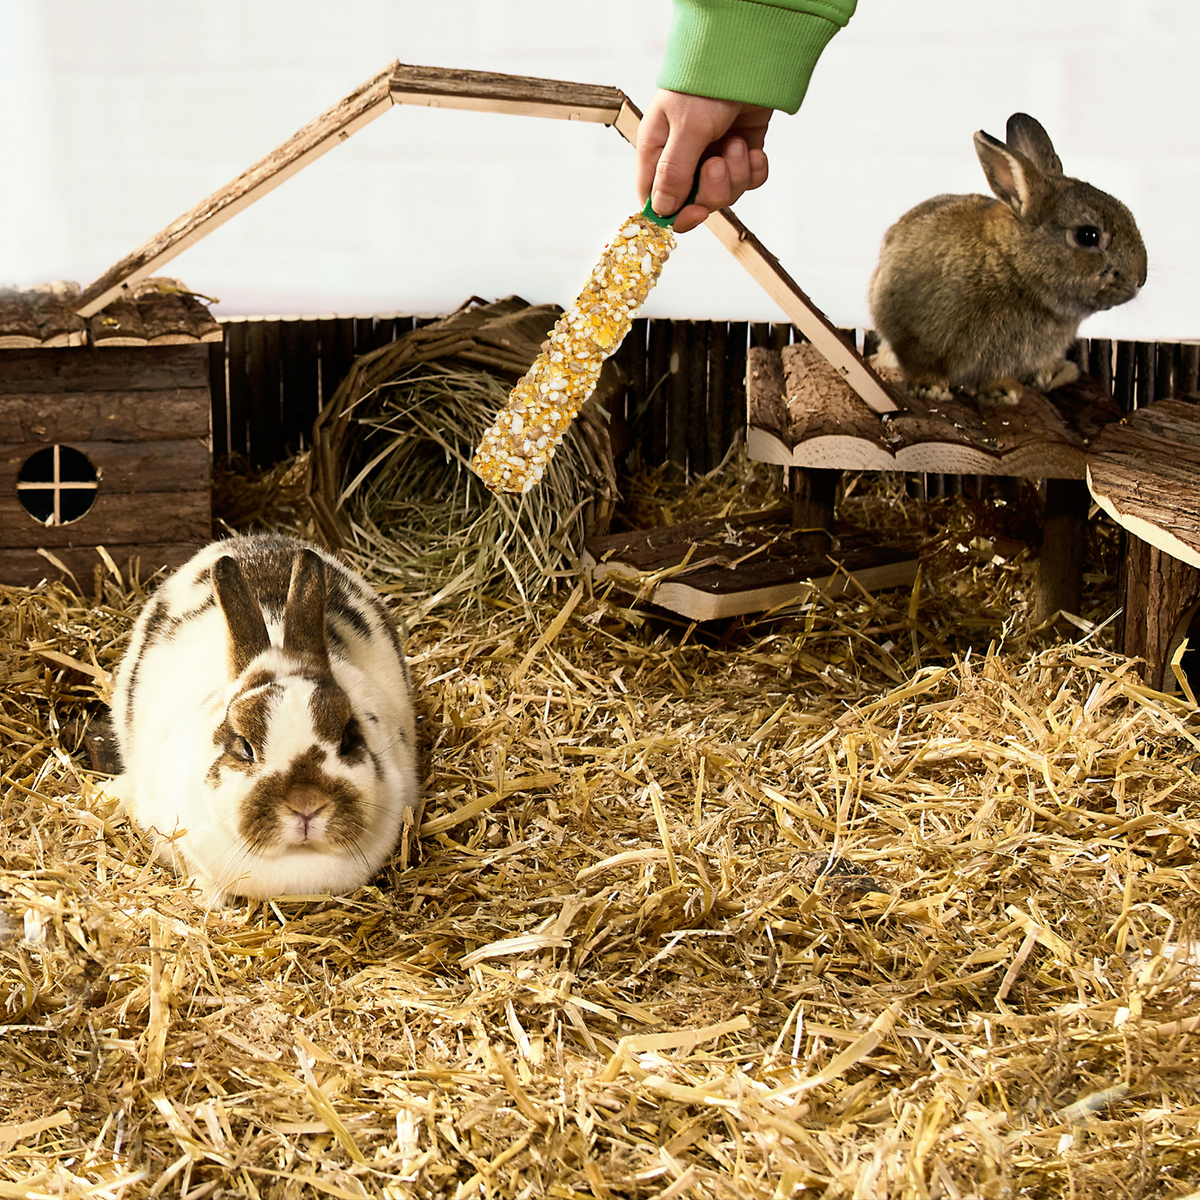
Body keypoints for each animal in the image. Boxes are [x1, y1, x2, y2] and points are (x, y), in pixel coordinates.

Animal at [868, 112, 1147, 405]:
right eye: (1088, 236)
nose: (1140, 279)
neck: (1014, 265)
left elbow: (997, 376)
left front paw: (1004, 393)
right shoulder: (910, 333)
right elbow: (919, 362)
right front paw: (929, 388)